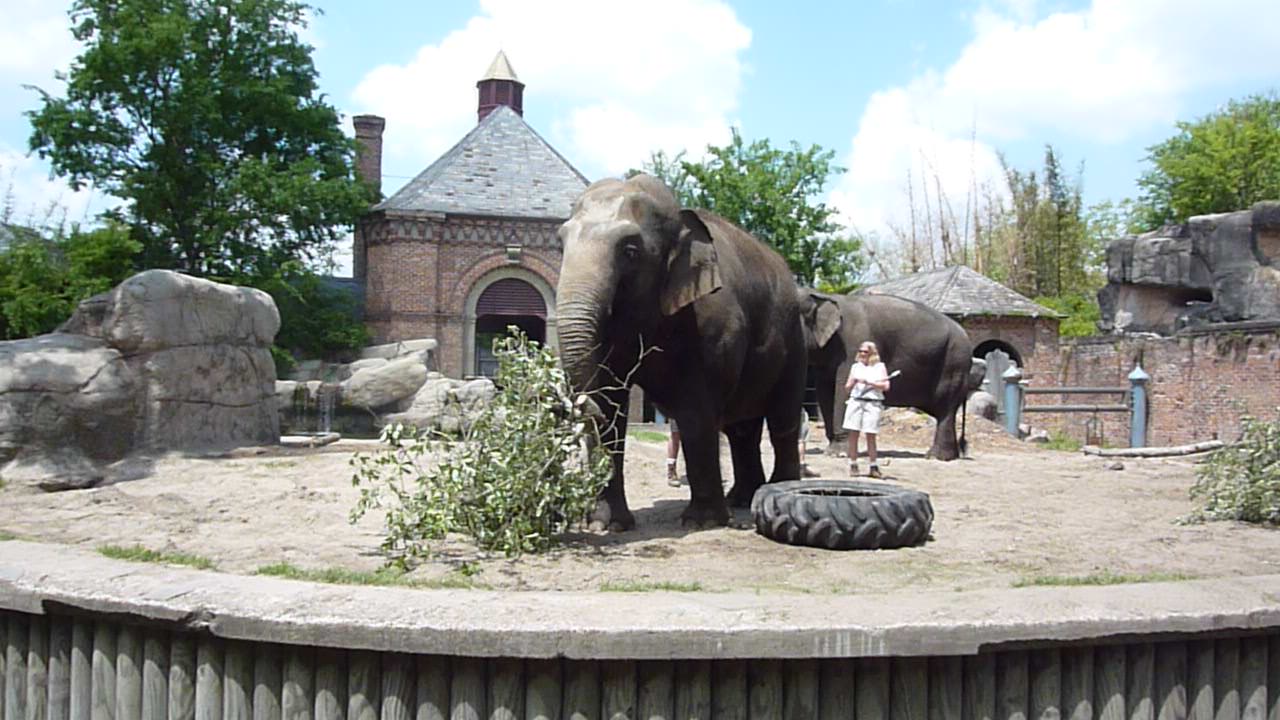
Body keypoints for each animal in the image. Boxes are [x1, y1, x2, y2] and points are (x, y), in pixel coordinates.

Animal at [556, 174, 808, 531]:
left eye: (630, 251)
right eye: (561, 245)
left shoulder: (714, 321)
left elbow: (695, 410)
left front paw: (701, 522)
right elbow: (612, 400)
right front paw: (607, 524)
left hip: (795, 341)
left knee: (782, 419)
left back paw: (777, 490)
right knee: (742, 429)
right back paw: (741, 499)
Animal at [797, 290, 975, 460]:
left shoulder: (853, 345)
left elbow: (845, 389)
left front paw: (837, 454)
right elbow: (825, 392)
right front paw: (833, 450)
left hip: (953, 363)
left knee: (945, 410)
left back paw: (935, 457)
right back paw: (947, 456)